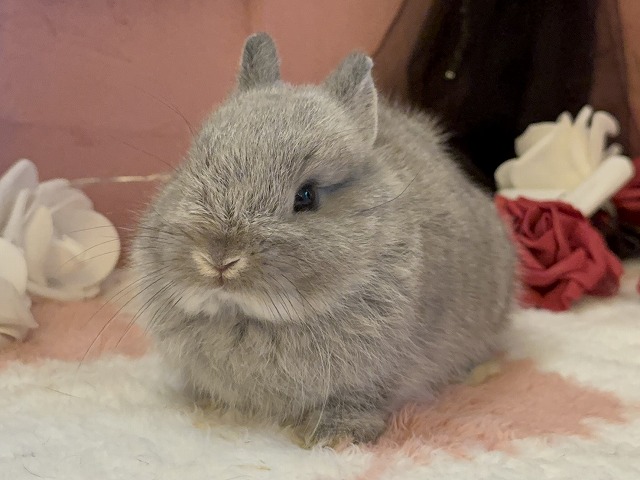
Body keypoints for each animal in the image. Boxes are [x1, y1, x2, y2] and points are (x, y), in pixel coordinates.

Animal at [130, 32, 518, 447]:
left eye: (307, 196)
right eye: (194, 167)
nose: (219, 258)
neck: (247, 317)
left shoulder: (374, 377)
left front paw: (334, 438)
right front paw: (210, 411)